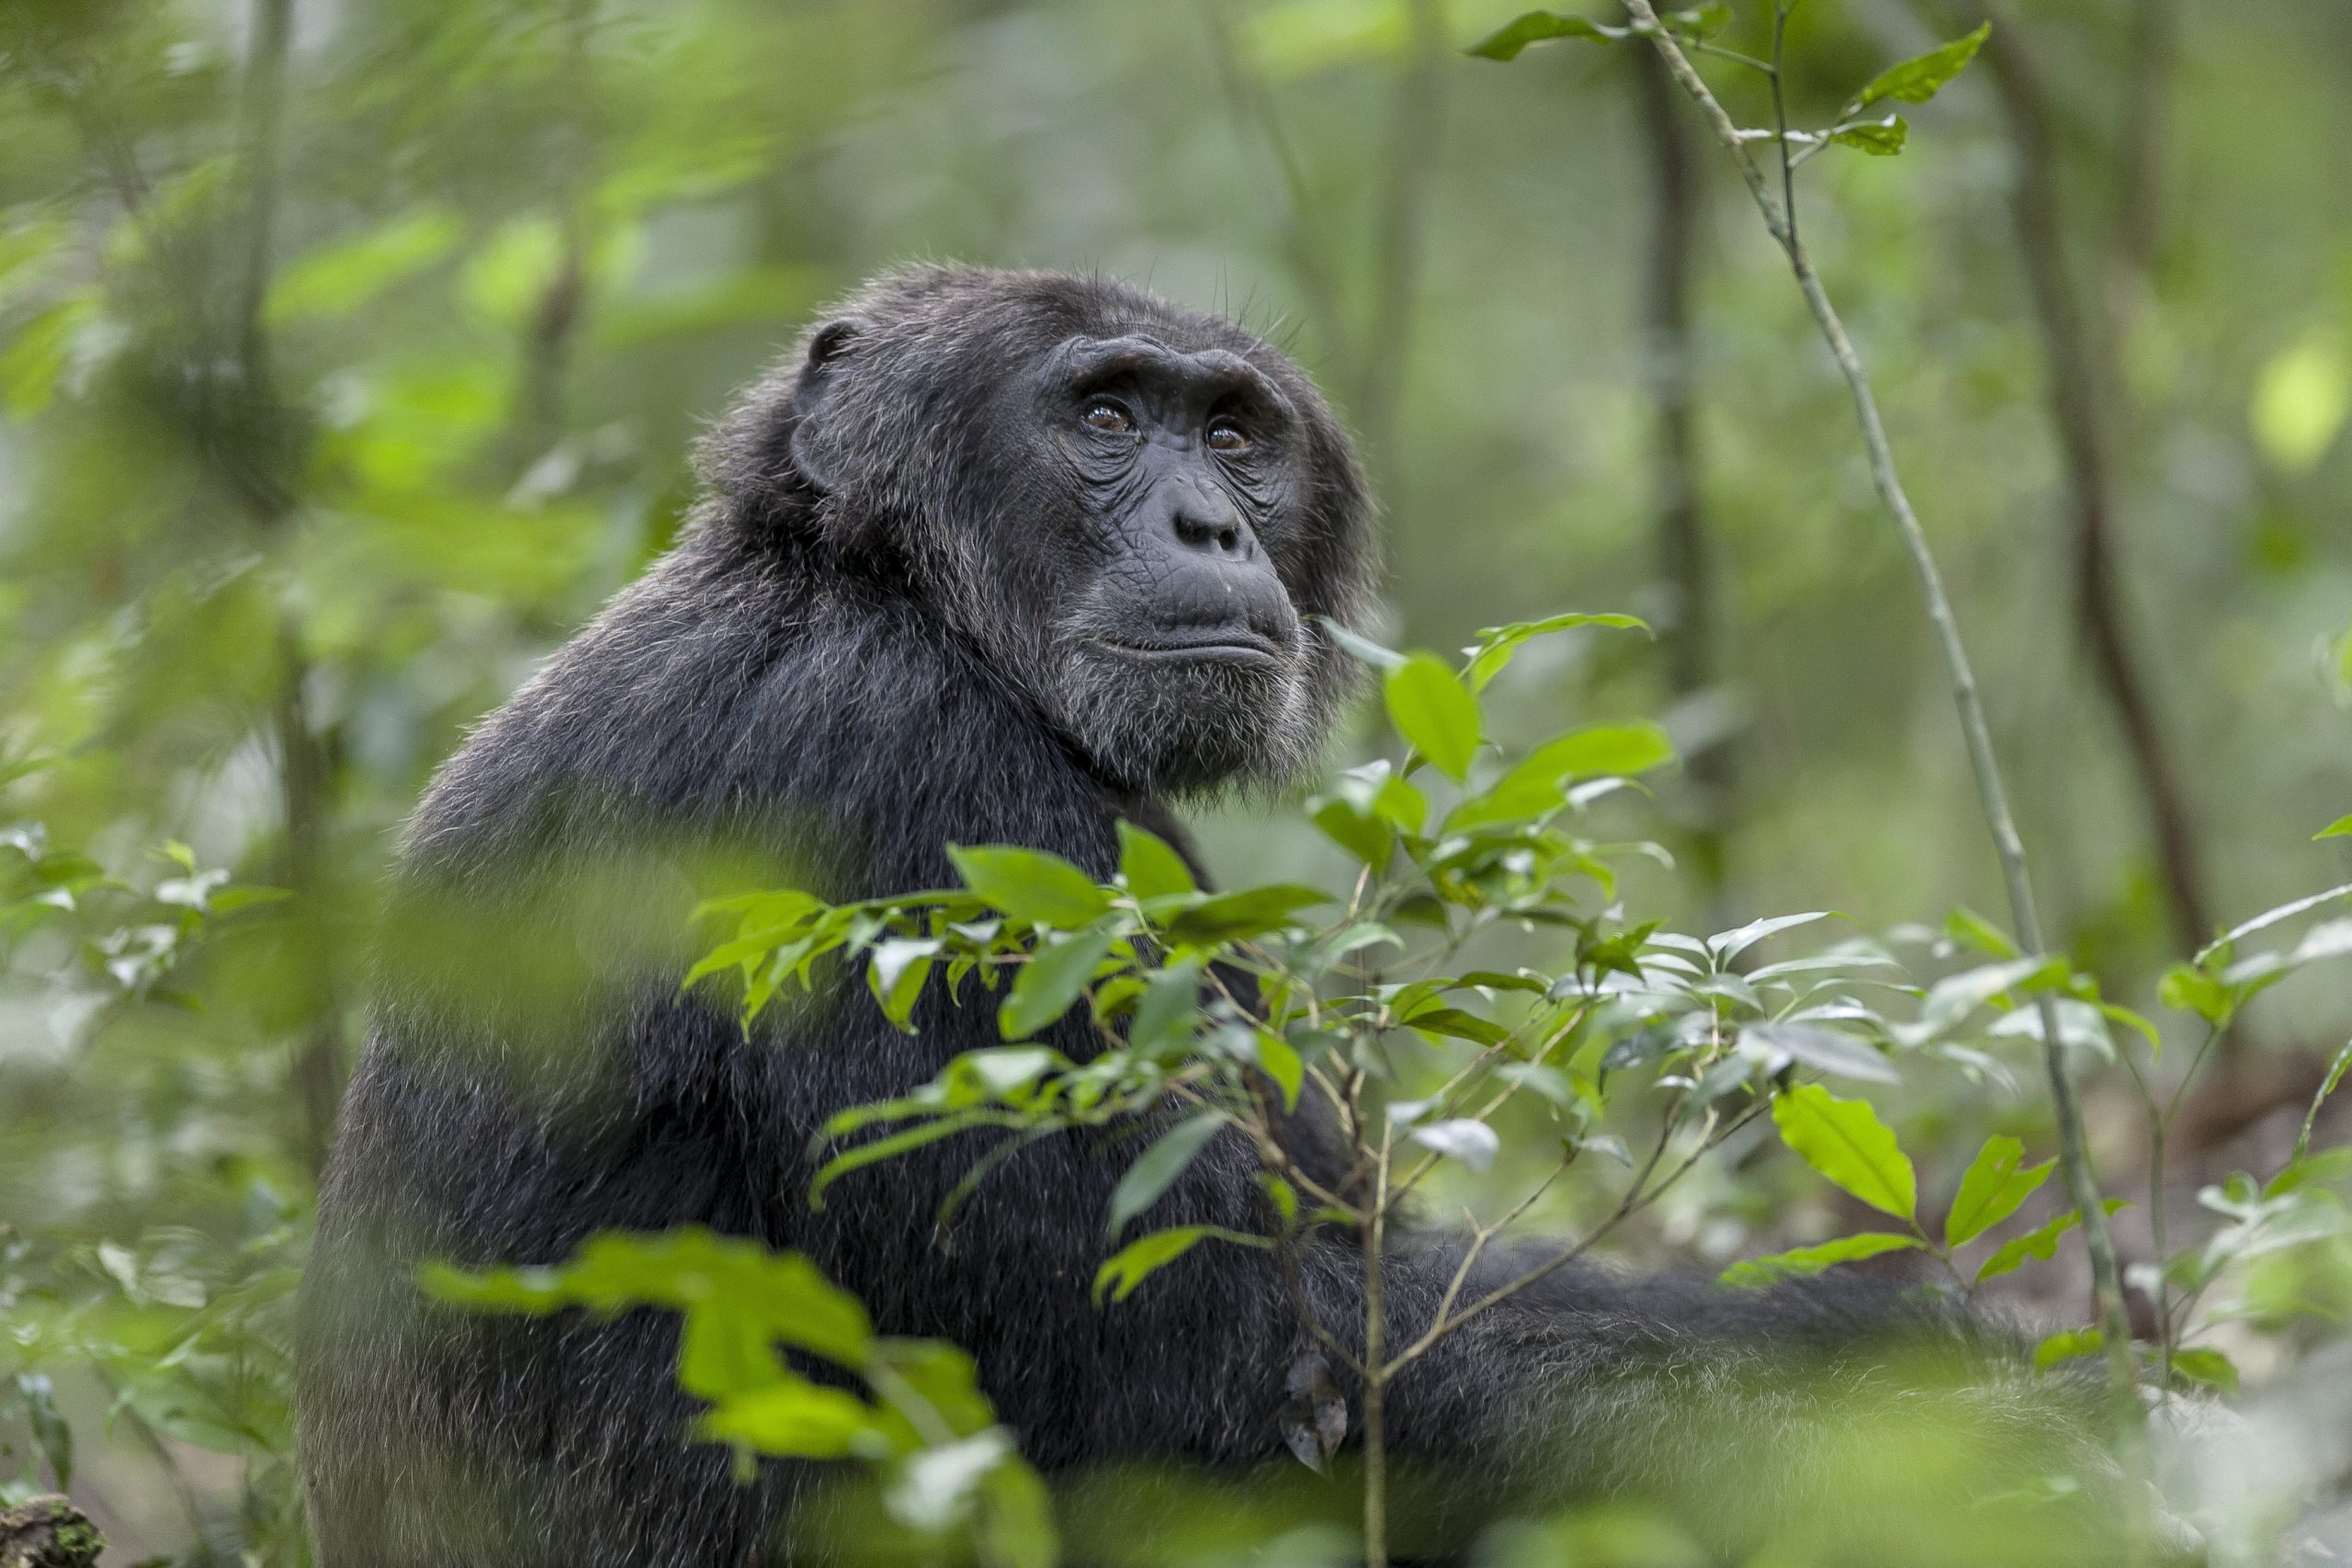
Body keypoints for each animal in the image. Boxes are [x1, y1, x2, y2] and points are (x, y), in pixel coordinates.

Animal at [294, 263, 2117, 1561]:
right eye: (1105, 416)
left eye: (1236, 431)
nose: (1209, 517)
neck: (883, 595)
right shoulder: (910, 827)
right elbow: (1242, 1360)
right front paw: (1939, 1388)